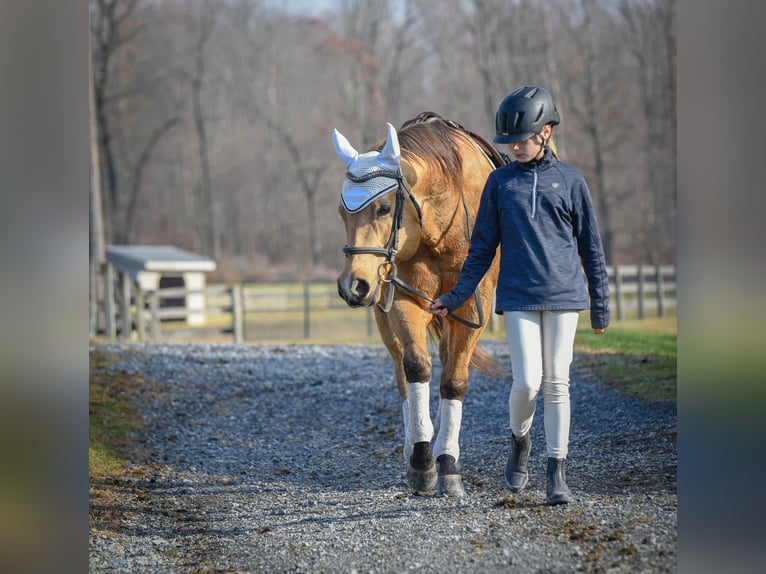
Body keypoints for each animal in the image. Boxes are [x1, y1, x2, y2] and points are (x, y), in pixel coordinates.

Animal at [331, 113, 506, 497]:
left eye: (383, 208)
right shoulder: (405, 300)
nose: (353, 285)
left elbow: (454, 381)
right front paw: (423, 460)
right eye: (342, 213)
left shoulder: (473, 307)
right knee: (402, 373)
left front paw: (449, 464)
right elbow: (416, 367)